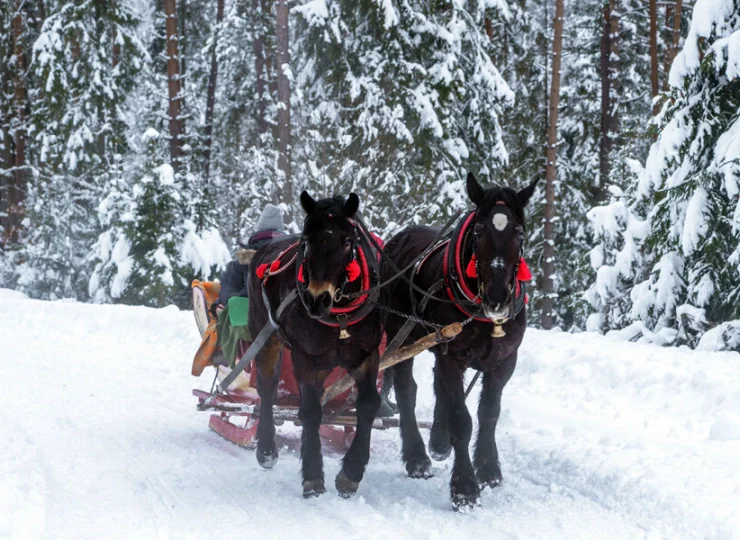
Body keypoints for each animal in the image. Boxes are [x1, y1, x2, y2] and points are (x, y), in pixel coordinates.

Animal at [249, 192, 384, 500]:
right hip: (266, 335)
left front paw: (350, 473)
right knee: (267, 388)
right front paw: (312, 475)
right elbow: (310, 410)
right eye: (307, 240)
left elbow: (368, 403)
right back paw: (266, 448)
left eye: (347, 241)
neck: (340, 313)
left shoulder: (366, 353)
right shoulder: (305, 356)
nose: (316, 299)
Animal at [382, 173, 536, 510]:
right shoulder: (452, 357)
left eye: (519, 233)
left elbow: (488, 413)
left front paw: (489, 469)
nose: (497, 298)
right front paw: (464, 488)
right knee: (406, 390)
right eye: (478, 231)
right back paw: (417, 458)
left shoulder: (504, 361)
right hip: (402, 335)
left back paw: (438, 441)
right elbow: (462, 420)